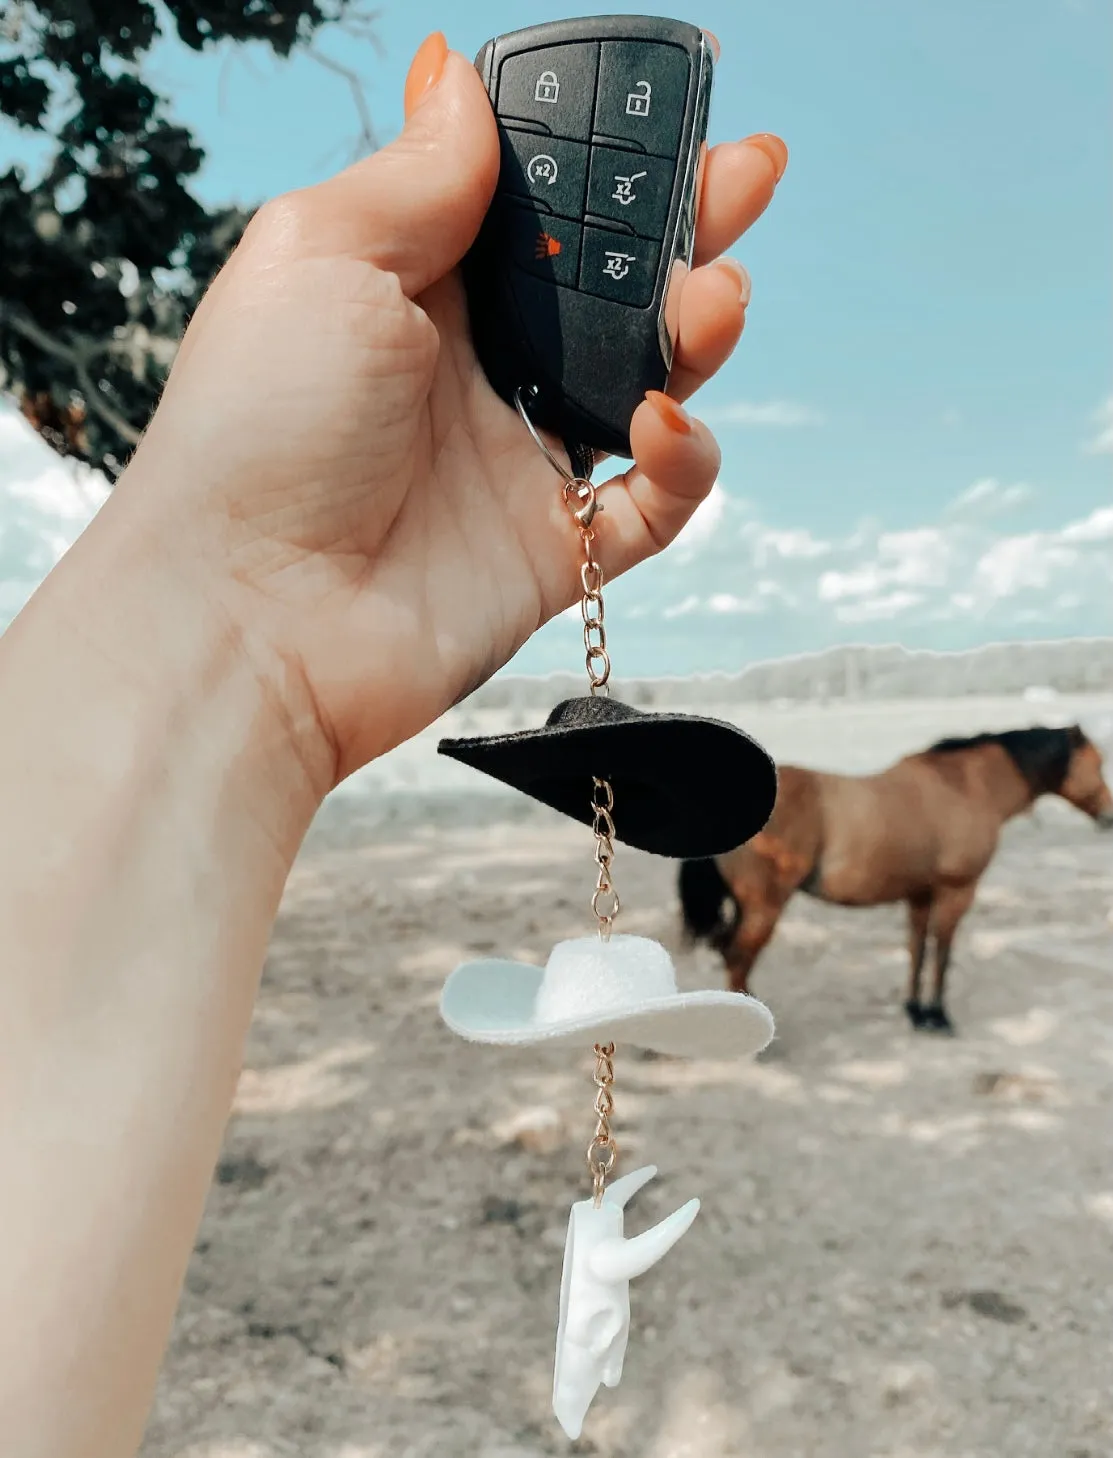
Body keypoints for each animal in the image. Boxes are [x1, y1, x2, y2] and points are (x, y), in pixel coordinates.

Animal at [679, 723, 1113, 1032]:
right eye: (1096, 764)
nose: (1109, 817)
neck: (967, 787)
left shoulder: (920, 894)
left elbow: (917, 949)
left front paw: (915, 1012)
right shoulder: (956, 892)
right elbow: (942, 953)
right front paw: (939, 1016)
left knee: (730, 952)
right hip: (764, 908)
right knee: (738, 956)